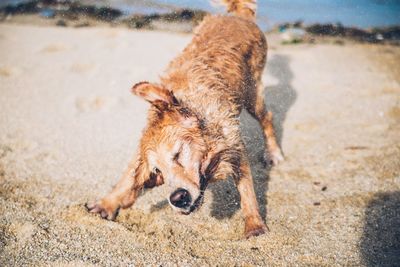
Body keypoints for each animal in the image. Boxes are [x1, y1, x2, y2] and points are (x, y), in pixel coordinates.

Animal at [86, 0, 282, 239]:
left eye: (178, 155)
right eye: (158, 170)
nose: (178, 198)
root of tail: (238, 15)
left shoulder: (233, 145)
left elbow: (247, 191)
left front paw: (254, 225)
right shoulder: (144, 145)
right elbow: (130, 175)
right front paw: (107, 203)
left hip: (252, 94)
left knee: (267, 118)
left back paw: (273, 153)